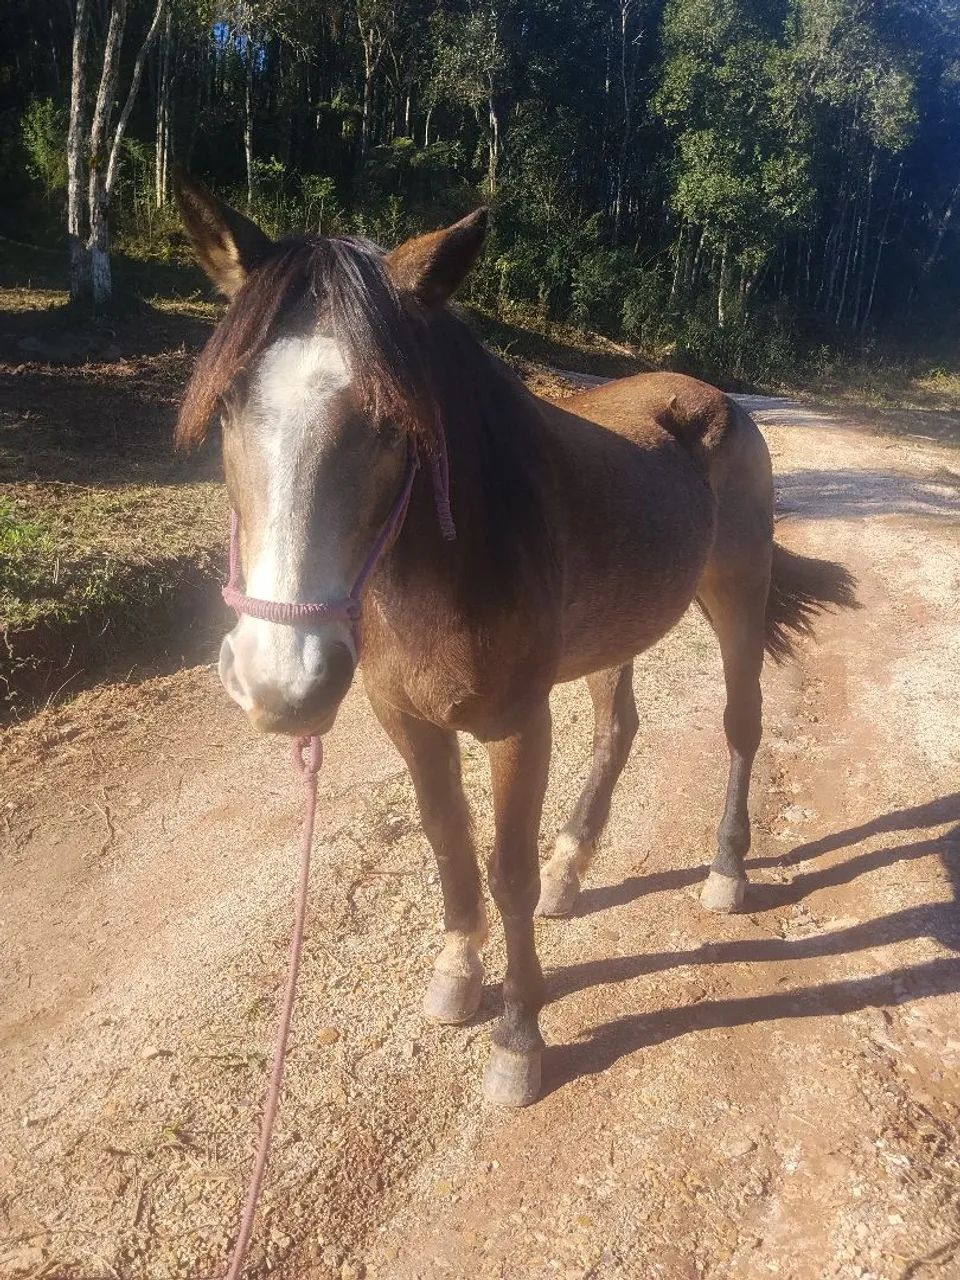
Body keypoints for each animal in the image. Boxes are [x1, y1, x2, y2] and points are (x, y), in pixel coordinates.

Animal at [174, 174, 856, 1107]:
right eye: (230, 405)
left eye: (394, 418)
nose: (282, 683)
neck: (444, 571)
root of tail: (715, 397)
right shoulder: (406, 719)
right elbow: (448, 844)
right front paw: (458, 976)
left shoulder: (516, 726)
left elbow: (506, 873)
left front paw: (518, 1039)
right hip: (616, 632)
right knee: (617, 729)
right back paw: (576, 867)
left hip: (736, 595)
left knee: (741, 724)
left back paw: (725, 870)